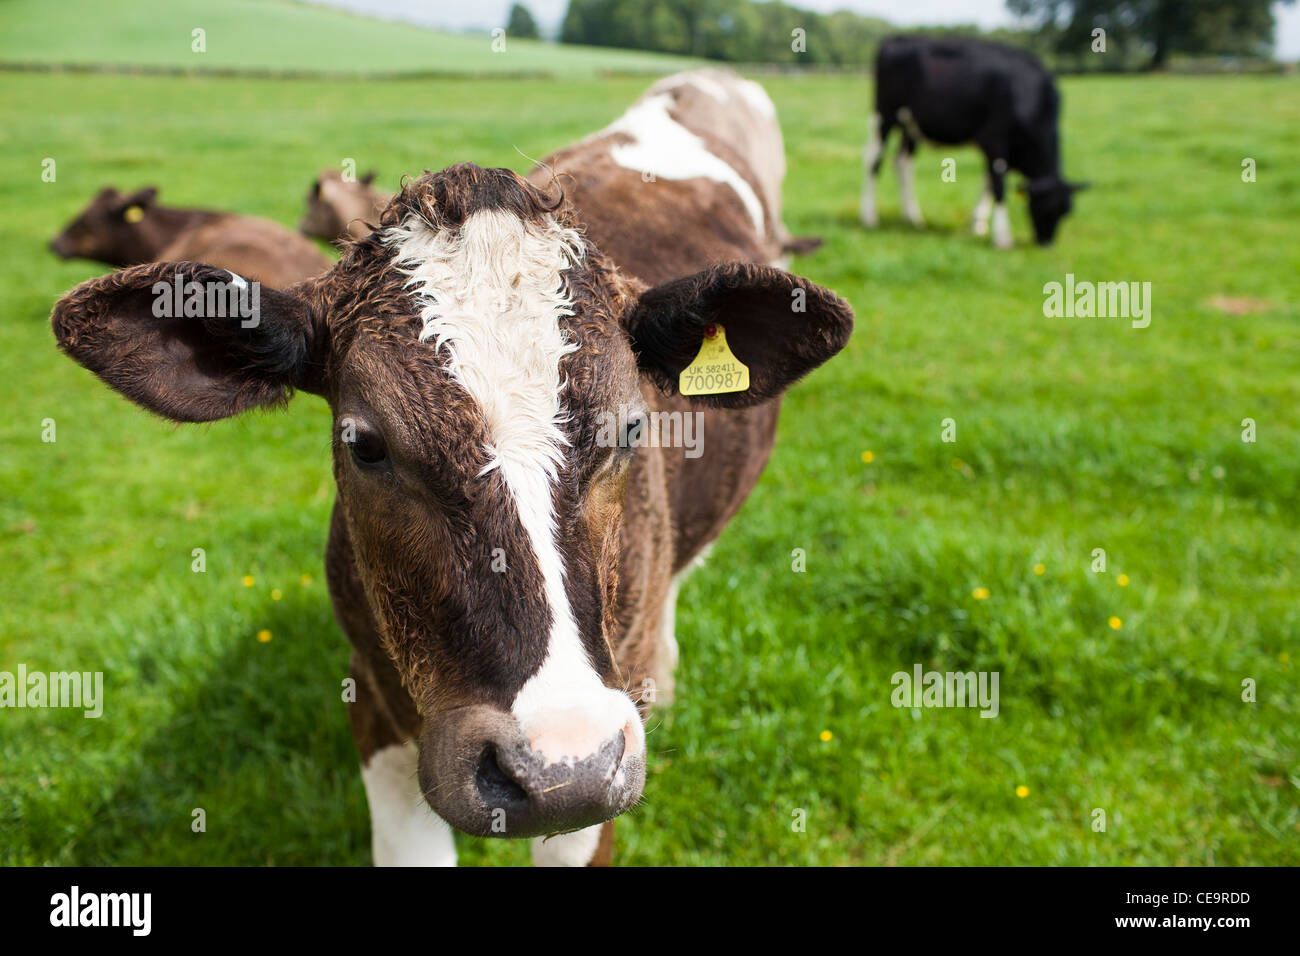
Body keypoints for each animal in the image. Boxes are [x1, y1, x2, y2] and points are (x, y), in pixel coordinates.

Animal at [857, 35, 1092, 247]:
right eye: (1045, 207)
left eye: (1066, 212)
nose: (1046, 243)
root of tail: (895, 39)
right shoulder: (995, 140)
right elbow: (997, 185)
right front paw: (1002, 236)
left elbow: (987, 183)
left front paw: (978, 224)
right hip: (884, 116)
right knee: (873, 160)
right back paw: (869, 216)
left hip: (911, 125)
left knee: (903, 164)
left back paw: (913, 217)